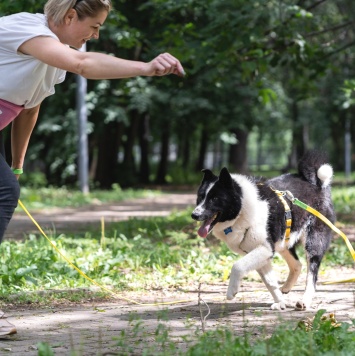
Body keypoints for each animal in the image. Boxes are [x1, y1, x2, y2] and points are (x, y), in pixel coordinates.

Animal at [193, 152, 336, 310]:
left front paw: (231, 291)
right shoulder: (261, 252)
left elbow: (237, 266)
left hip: (313, 242)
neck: (243, 209)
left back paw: (305, 300)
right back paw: (286, 288)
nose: (194, 215)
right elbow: (270, 282)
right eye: (200, 196)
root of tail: (315, 183)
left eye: (214, 198)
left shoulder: (265, 248)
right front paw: (280, 302)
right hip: (284, 241)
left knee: (312, 273)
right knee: (297, 265)